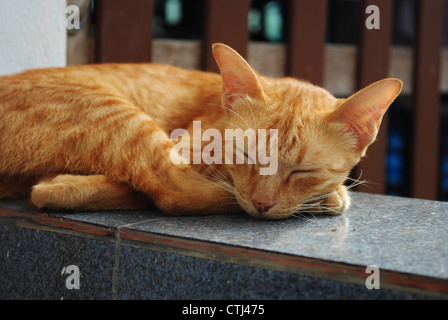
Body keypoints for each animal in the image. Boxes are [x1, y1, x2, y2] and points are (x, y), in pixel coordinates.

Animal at [0, 43, 402, 220]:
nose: (262, 204)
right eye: (246, 155)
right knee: (170, 191)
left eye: (304, 170)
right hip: (116, 116)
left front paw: (325, 193)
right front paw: (330, 196)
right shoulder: (190, 149)